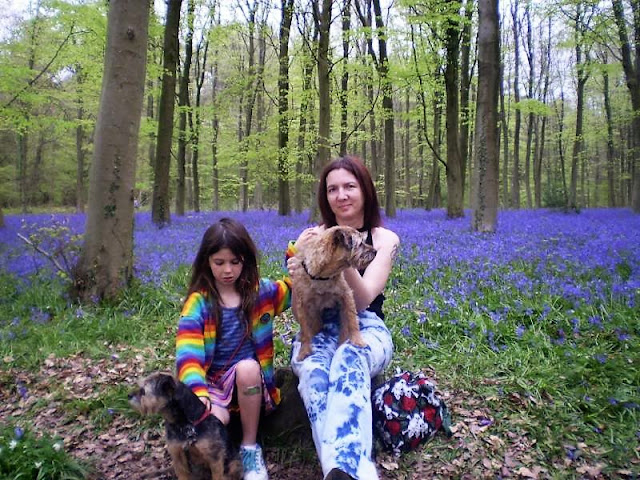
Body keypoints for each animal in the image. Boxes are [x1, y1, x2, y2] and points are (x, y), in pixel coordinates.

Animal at [294, 225, 378, 360]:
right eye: (360, 243)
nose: (375, 251)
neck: (323, 276)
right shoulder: (302, 306)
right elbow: (305, 330)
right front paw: (304, 350)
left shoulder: (346, 296)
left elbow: (352, 321)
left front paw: (357, 340)